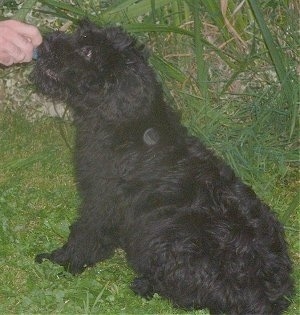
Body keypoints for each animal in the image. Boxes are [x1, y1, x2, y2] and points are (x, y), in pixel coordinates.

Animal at [32, 21, 292, 314]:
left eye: (88, 51)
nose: (45, 42)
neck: (126, 123)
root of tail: (265, 297)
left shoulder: (103, 202)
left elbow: (87, 235)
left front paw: (62, 261)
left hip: (170, 239)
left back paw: (144, 284)